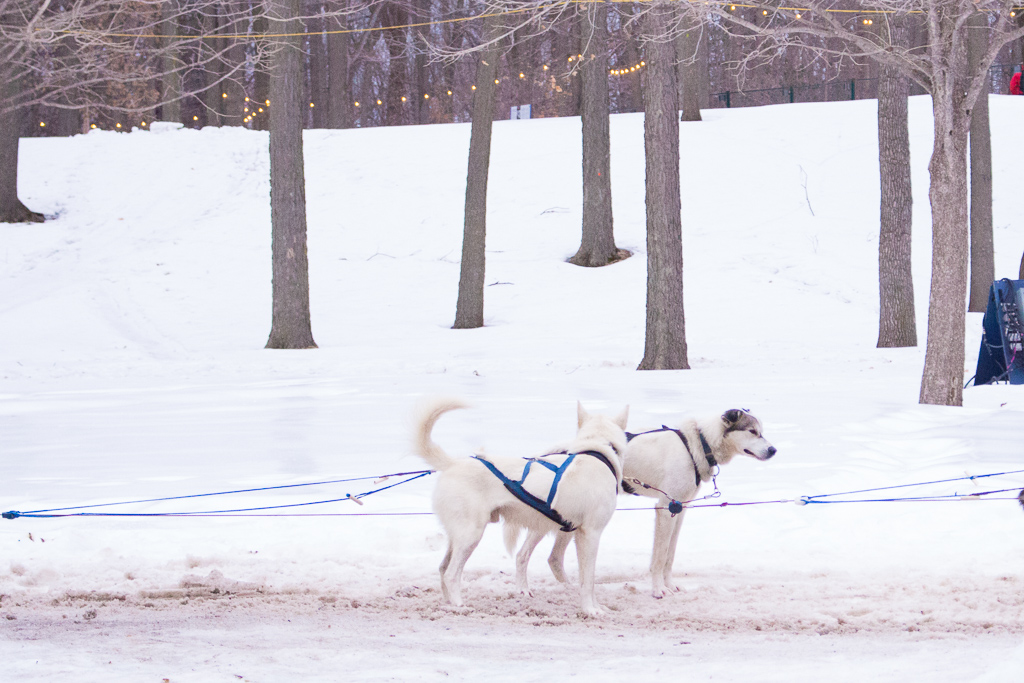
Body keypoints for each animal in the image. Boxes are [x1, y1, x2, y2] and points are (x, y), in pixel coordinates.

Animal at [411, 397, 626, 618]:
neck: (596, 453)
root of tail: (453, 463)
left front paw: (597, 606)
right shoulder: (590, 535)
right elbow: (588, 581)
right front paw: (590, 609)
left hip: (459, 536)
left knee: (442, 568)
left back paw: (449, 603)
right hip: (471, 536)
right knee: (451, 574)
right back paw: (460, 605)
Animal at [520, 411, 774, 598]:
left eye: (761, 432)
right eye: (752, 431)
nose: (773, 450)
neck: (697, 445)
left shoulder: (680, 509)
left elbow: (670, 555)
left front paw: (670, 585)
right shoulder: (665, 508)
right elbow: (659, 556)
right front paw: (658, 589)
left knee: (554, 558)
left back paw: (570, 588)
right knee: (526, 554)